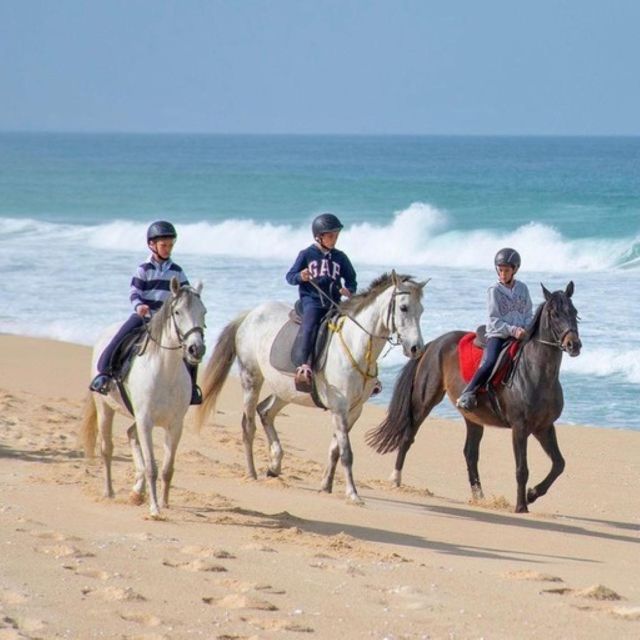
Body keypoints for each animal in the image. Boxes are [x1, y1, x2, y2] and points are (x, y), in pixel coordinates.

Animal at [79, 278, 205, 516]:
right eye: (177, 312)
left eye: (204, 312)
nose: (196, 349)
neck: (165, 370)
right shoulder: (146, 422)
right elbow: (152, 468)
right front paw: (155, 509)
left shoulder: (175, 425)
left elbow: (166, 469)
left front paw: (164, 502)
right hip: (105, 409)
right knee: (107, 449)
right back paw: (109, 492)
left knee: (130, 434)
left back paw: (137, 492)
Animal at [195, 272, 424, 502]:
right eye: (403, 307)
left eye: (421, 310)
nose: (416, 348)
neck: (355, 345)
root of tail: (250, 314)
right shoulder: (339, 408)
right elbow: (346, 453)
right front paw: (352, 494)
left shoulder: (354, 410)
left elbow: (335, 449)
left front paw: (326, 486)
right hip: (251, 378)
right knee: (248, 425)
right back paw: (252, 473)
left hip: (286, 390)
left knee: (266, 411)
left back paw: (274, 465)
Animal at [368, 282, 584, 512]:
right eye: (554, 314)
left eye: (574, 312)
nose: (574, 345)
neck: (536, 372)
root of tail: (434, 343)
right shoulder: (520, 428)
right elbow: (522, 469)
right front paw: (521, 506)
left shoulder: (544, 427)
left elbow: (559, 464)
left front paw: (532, 494)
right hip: (424, 401)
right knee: (408, 436)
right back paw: (395, 479)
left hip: (473, 417)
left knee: (470, 453)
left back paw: (479, 496)